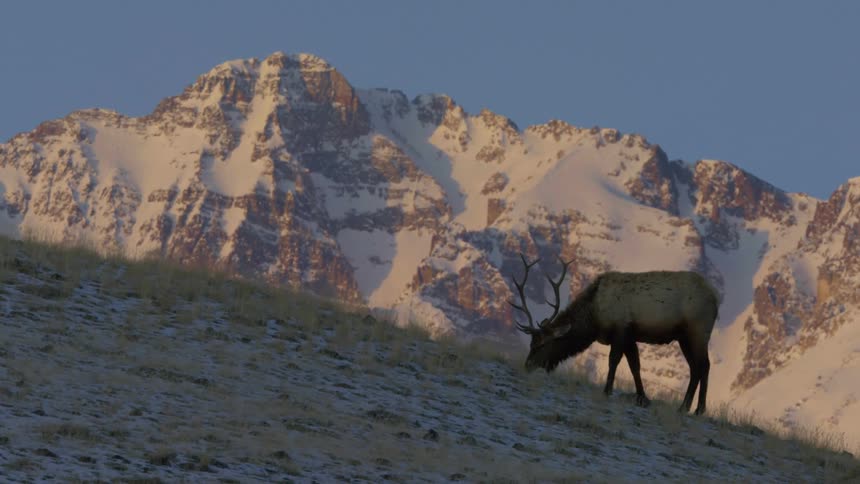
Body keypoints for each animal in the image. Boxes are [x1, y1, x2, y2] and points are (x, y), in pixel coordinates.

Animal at [509, 254, 720, 415]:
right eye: (531, 343)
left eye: (543, 344)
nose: (527, 365)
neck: (594, 316)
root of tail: (716, 298)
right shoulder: (630, 336)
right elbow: (635, 366)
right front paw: (643, 398)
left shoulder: (621, 330)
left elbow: (614, 361)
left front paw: (607, 391)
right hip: (684, 337)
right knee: (695, 367)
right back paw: (687, 407)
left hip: (698, 330)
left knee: (704, 365)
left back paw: (696, 409)